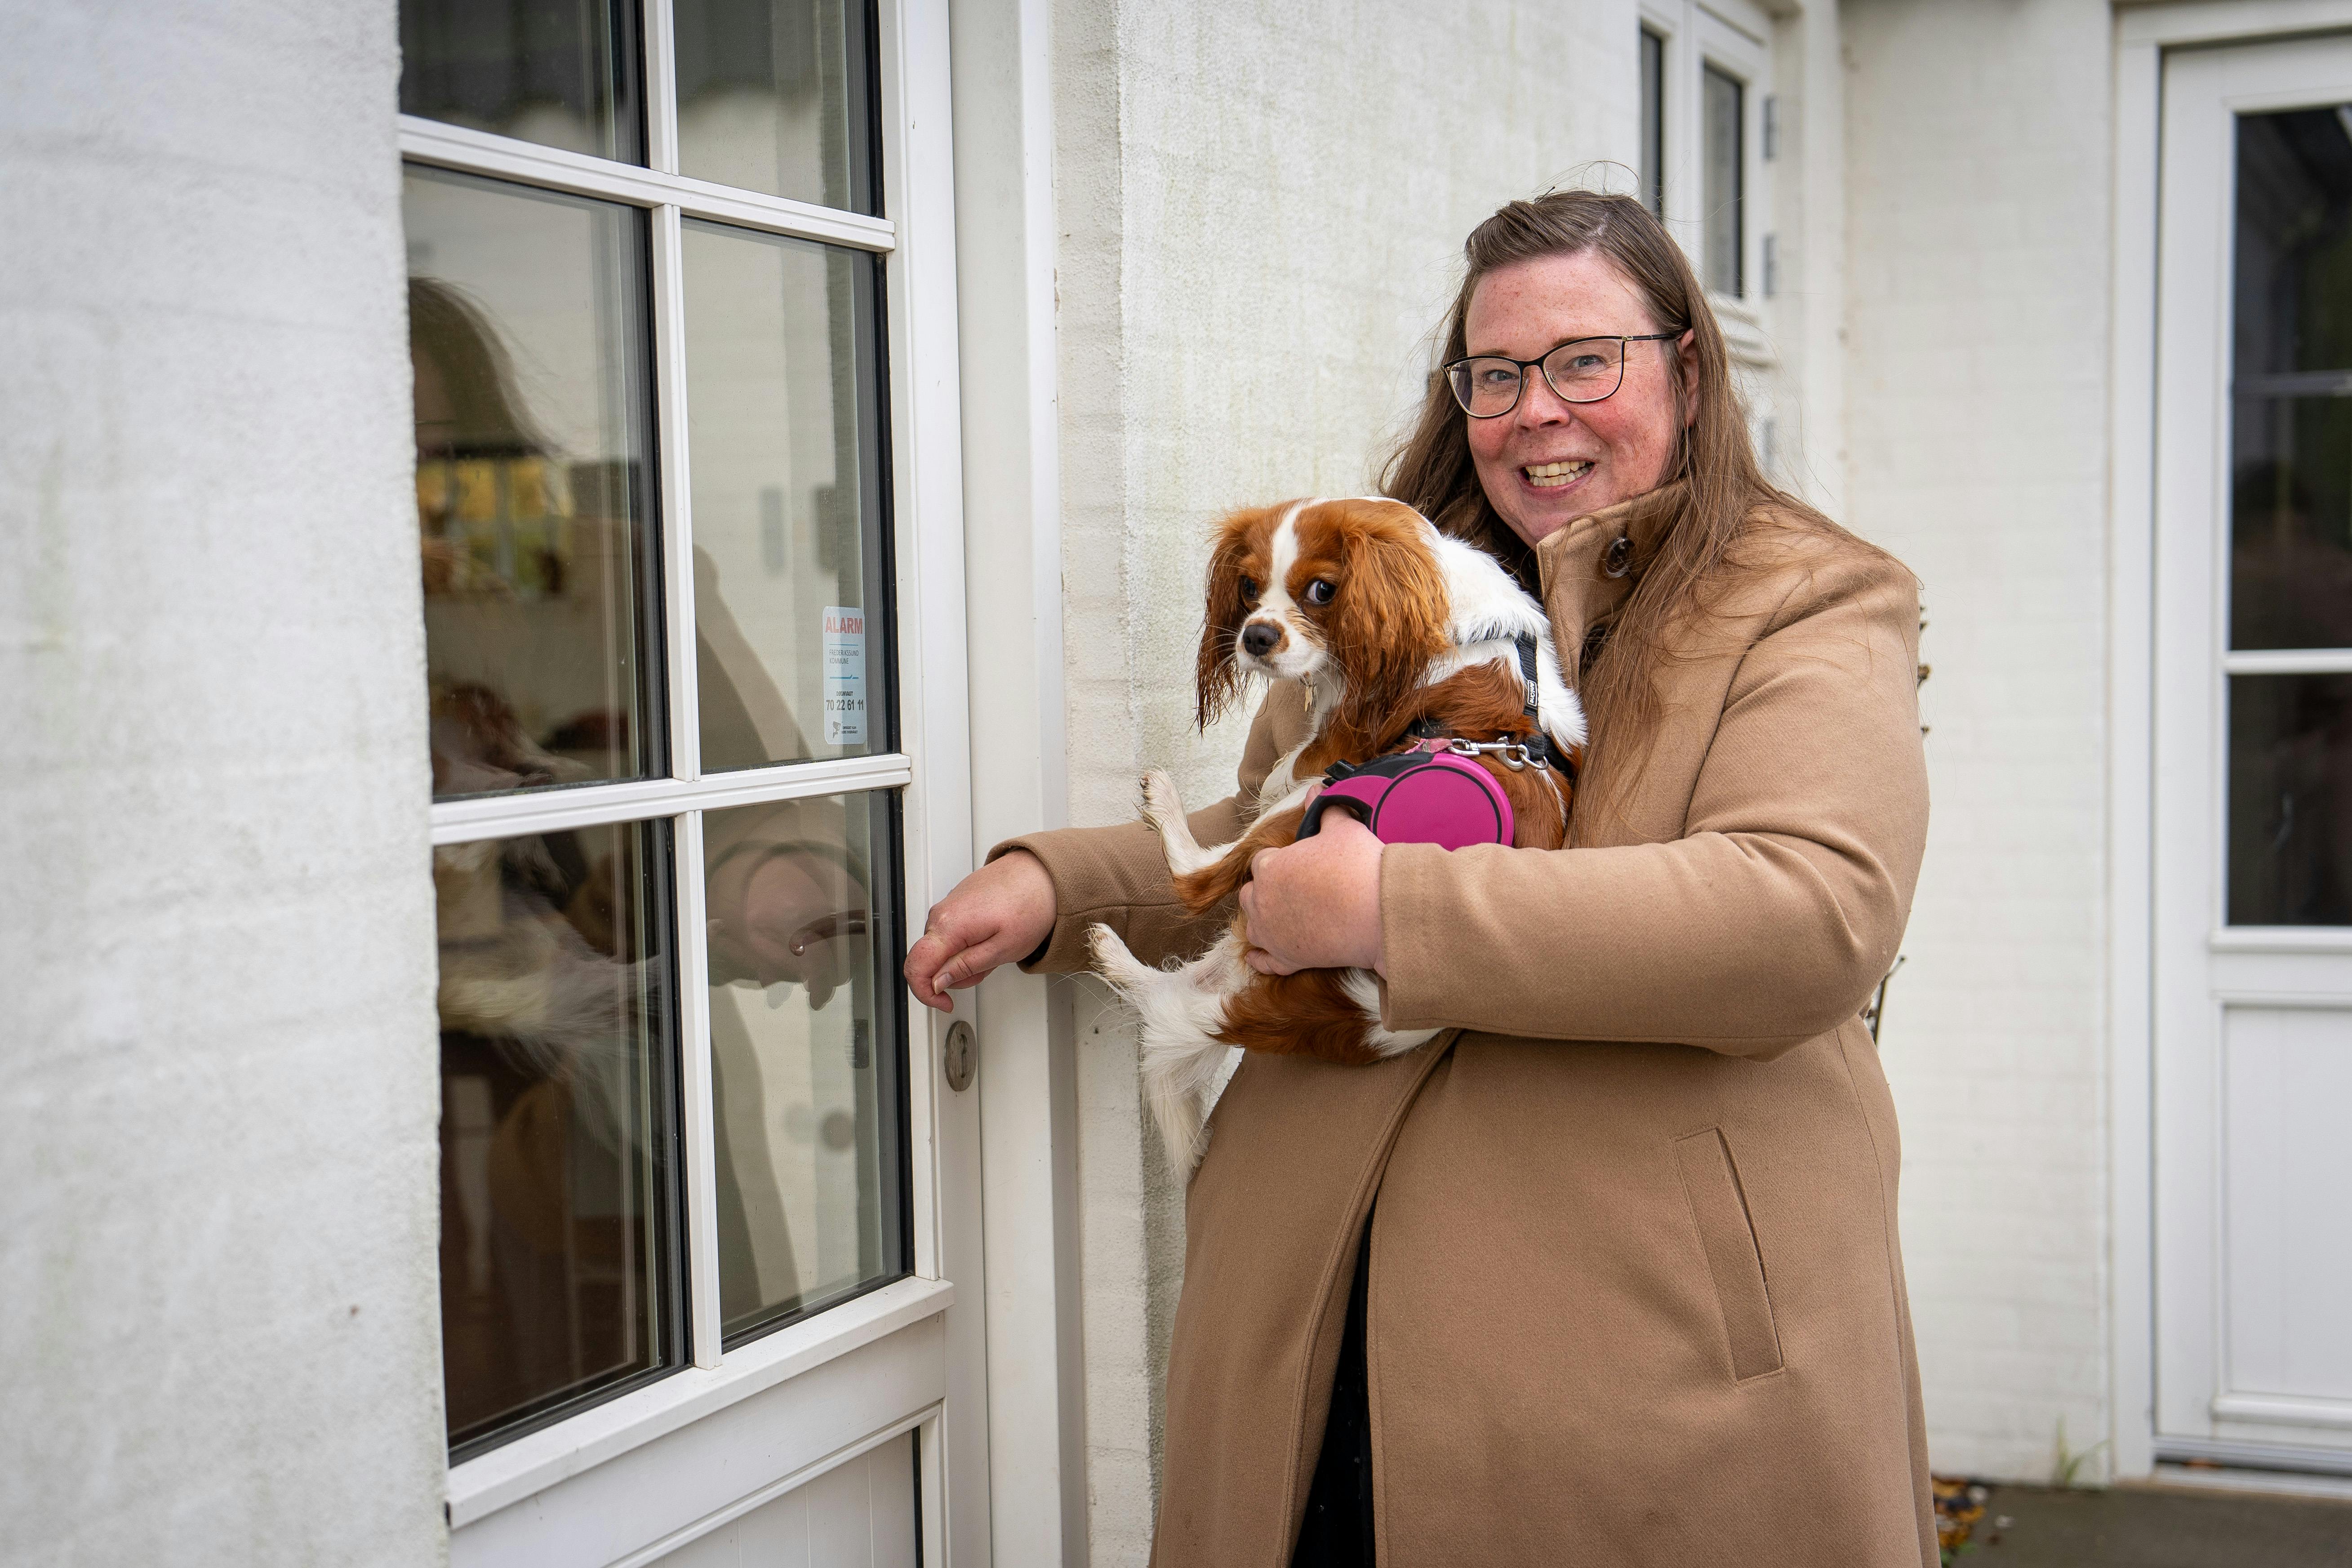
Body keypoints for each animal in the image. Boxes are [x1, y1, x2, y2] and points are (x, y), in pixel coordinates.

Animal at [1091, 496, 1590, 1170]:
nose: (1256, 636)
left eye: (1322, 591)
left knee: (1198, 879)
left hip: (1322, 795)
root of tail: (1366, 1015)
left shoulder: (1337, 742)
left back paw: (1164, 804)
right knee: (1184, 978)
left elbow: (1285, 767)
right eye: (1249, 588)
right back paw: (1114, 956)